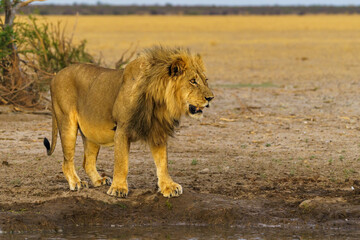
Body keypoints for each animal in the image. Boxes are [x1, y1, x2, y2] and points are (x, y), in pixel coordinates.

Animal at [44, 46, 214, 198]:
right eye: (193, 81)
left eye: (205, 80)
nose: (211, 98)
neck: (160, 103)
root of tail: (55, 75)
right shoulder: (122, 129)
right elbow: (122, 162)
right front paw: (119, 189)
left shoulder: (157, 132)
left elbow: (163, 162)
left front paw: (169, 187)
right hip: (67, 123)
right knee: (67, 161)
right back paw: (76, 182)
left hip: (92, 131)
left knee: (88, 162)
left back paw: (99, 180)